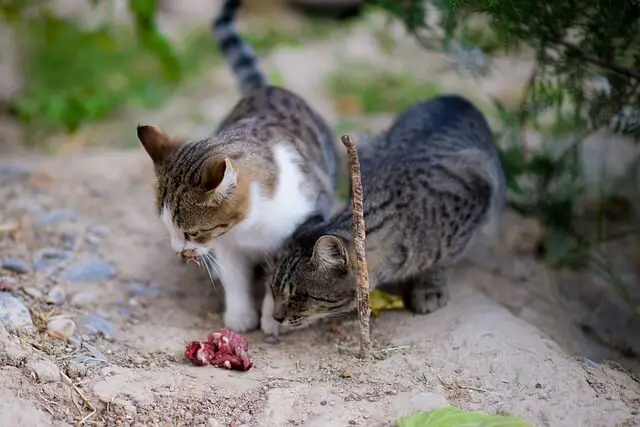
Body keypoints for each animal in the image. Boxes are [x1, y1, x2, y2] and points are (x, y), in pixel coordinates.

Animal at [137, 0, 338, 334]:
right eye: (168, 227)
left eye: (193, 232)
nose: (179, 250)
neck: (250, 228)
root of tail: (266, 88)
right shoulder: (227, 245)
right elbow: (233, 276)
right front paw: (240, 315)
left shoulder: (296, 229)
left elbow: (277, 279)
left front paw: (271, 318)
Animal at [264, 95, 504, 332]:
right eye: (272, 289)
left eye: (299, 297)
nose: (276, 317)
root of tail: (456, 97)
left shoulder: (477, 191)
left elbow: (447, 258)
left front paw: (431, 287)